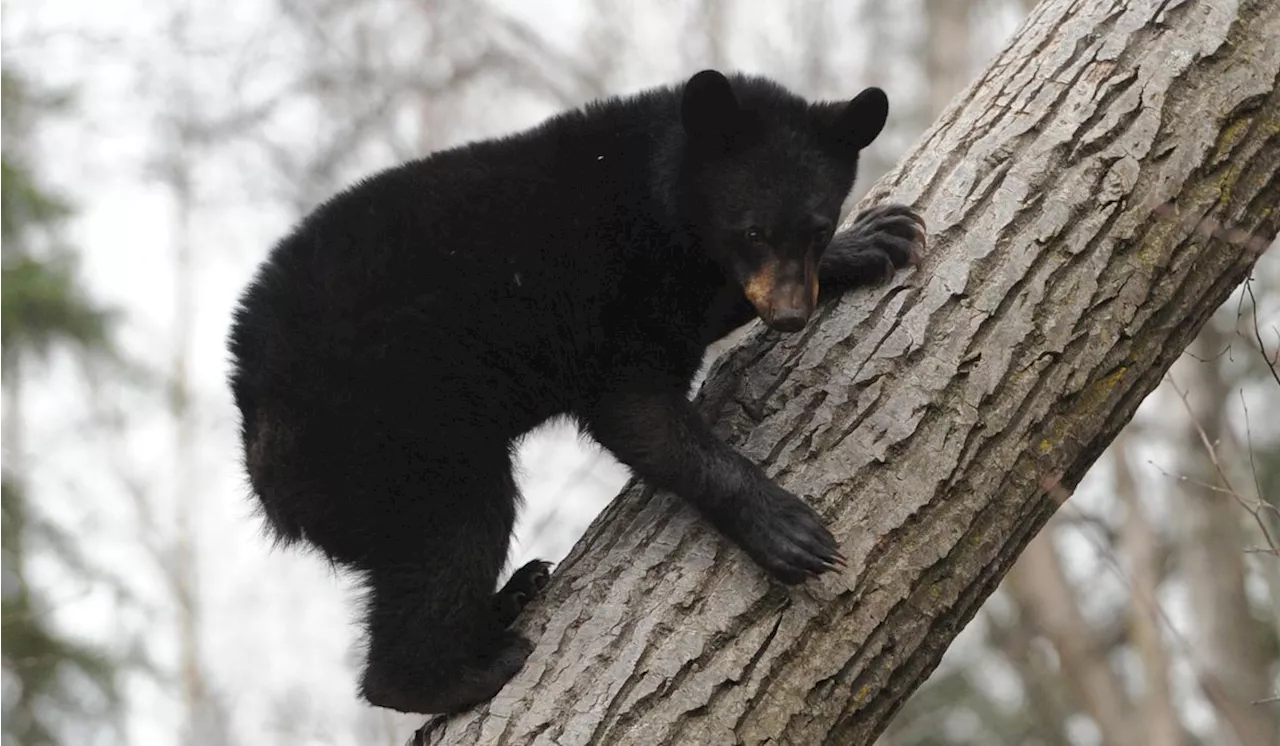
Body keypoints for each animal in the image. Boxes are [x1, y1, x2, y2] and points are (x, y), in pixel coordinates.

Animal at [227, 71, 921, 716]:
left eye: (817, 227)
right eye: (753, 231)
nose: (790, 316)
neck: (662, 195)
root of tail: (257, 441)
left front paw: (877, 239)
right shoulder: (623, 289)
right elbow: (639, 414)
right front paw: (789, 532)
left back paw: (512, 596)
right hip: (390, 430)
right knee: (456, 531)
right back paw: (464, 672)